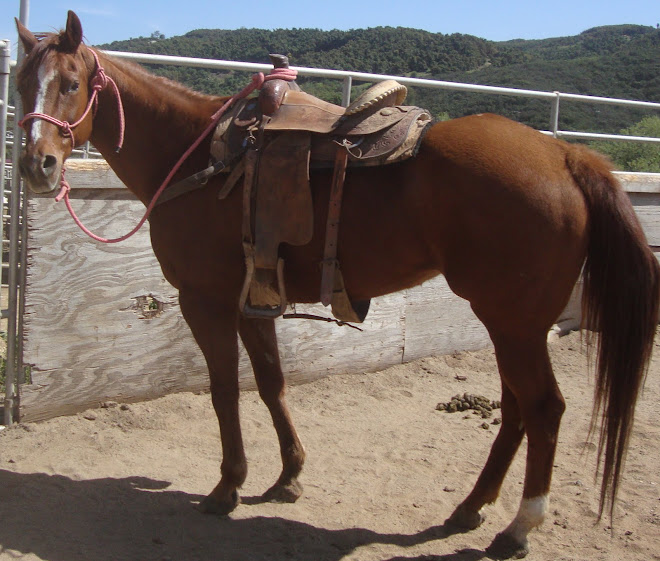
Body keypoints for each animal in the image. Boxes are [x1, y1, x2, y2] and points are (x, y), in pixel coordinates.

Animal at [15, 11, 660, 559]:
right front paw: (289, 475)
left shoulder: (206, 301)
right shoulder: (253, 300)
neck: (194, 154)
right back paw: (469, 508)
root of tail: (567, 155)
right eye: (21, 83)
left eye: (71, 83)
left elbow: (224, 391)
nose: (36, 166)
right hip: (509, 323)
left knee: (544, 408)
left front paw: (227, 487)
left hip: (515, 323)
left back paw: (518, 527)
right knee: (517, 409)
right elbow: (270, 384)